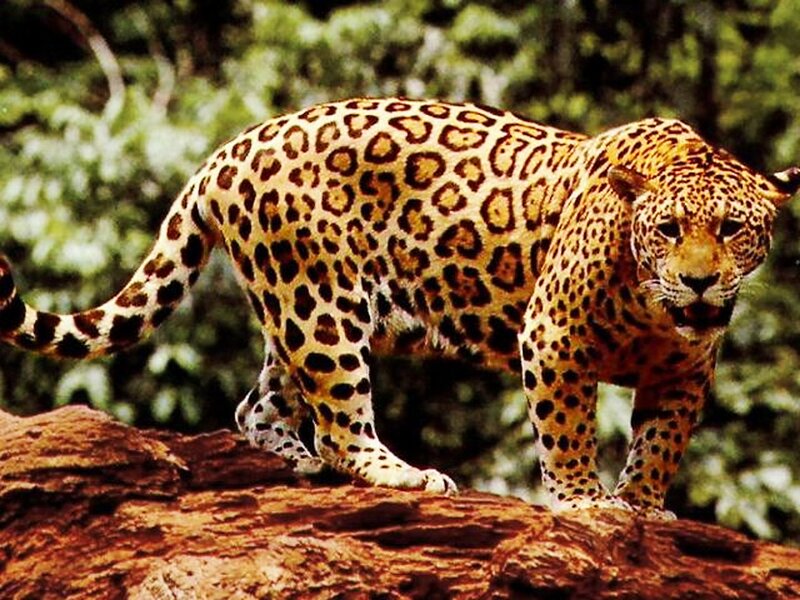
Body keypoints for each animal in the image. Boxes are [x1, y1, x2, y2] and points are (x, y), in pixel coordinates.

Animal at [1, 97, 798, 516]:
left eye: (732, 229)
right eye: (668, 230)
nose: (700, 282)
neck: (652, 304)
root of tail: (230, 148)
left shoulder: (685, 371)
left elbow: (661, 442)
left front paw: (643, 504)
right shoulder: (553, 336)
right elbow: (568, 429)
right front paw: (583, 501)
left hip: (296, 306)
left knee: (259, 405)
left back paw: (297, 464)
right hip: (321, 305)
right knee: (339, 424)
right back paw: (402, 473)